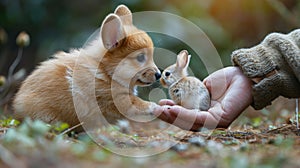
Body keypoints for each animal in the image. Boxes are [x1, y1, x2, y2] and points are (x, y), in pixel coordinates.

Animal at [12, 4, 161, 130]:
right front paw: (154, 107)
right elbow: (137, 103)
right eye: (140, 57)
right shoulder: (116, 100)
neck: (106, 72)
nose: (159, 74)